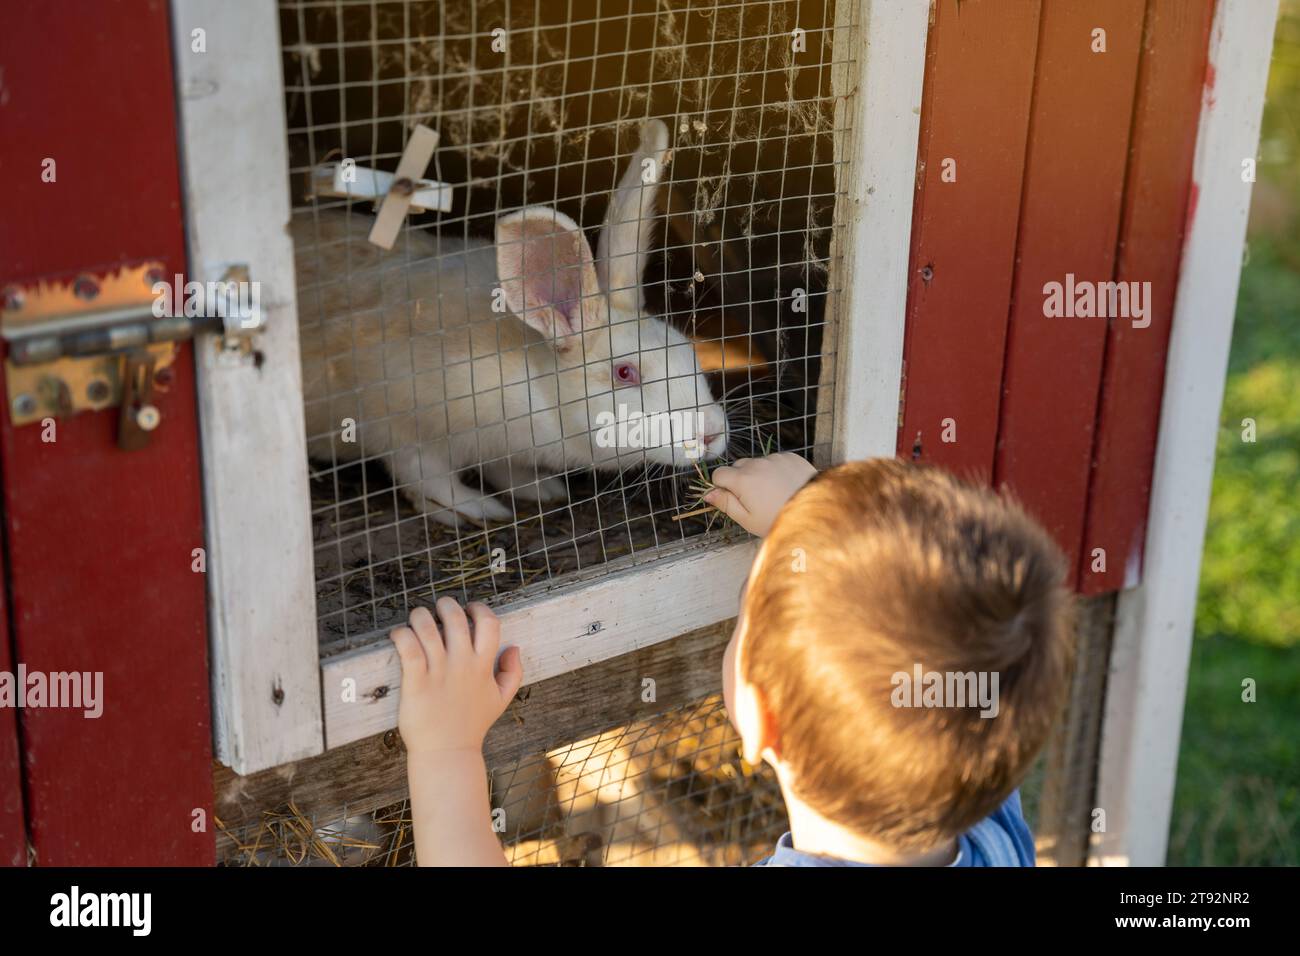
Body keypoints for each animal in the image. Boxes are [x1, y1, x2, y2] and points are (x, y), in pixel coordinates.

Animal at [293, 117, 733, 530]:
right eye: (625, 373)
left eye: (687, 350)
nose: (711, 433)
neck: (535, 383)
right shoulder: (399, 425)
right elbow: (427, 478)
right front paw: (477, 508)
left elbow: (505, 468)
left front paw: (540, 489)